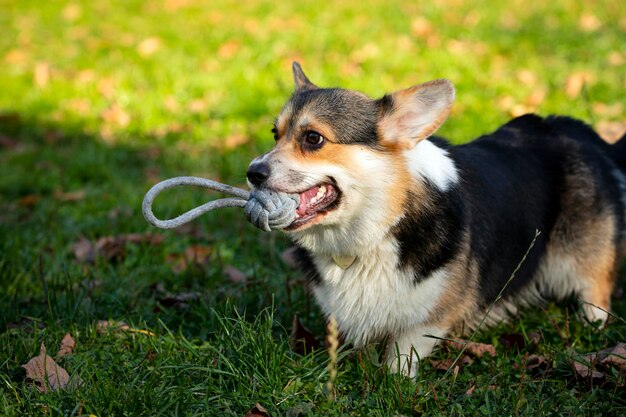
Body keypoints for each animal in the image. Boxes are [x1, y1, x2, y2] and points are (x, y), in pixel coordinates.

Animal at [246, 62, 620, 376]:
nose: (253, 173)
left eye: (313, 138)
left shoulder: (430, 316)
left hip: (582, 257)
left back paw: (591, 323)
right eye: (275, 134)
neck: (380, 225)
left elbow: (404, 350)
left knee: (597, 289)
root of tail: (576, 129)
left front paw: (396, 381)